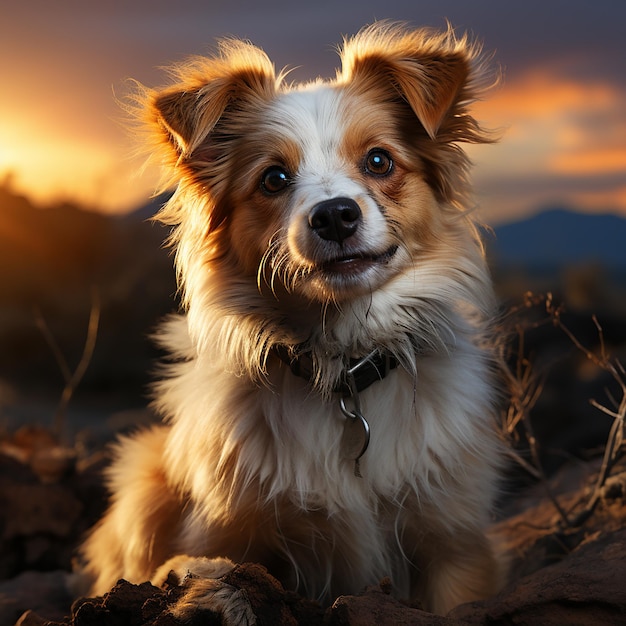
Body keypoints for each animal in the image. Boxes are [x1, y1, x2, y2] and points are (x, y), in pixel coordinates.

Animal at [79, 23, 508, 620]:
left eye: (380, 161)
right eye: (274, 179)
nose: (334, 215)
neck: (343, 370)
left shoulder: (455, 544)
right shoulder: (231, 533)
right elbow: (226, 570)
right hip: (142, 476)